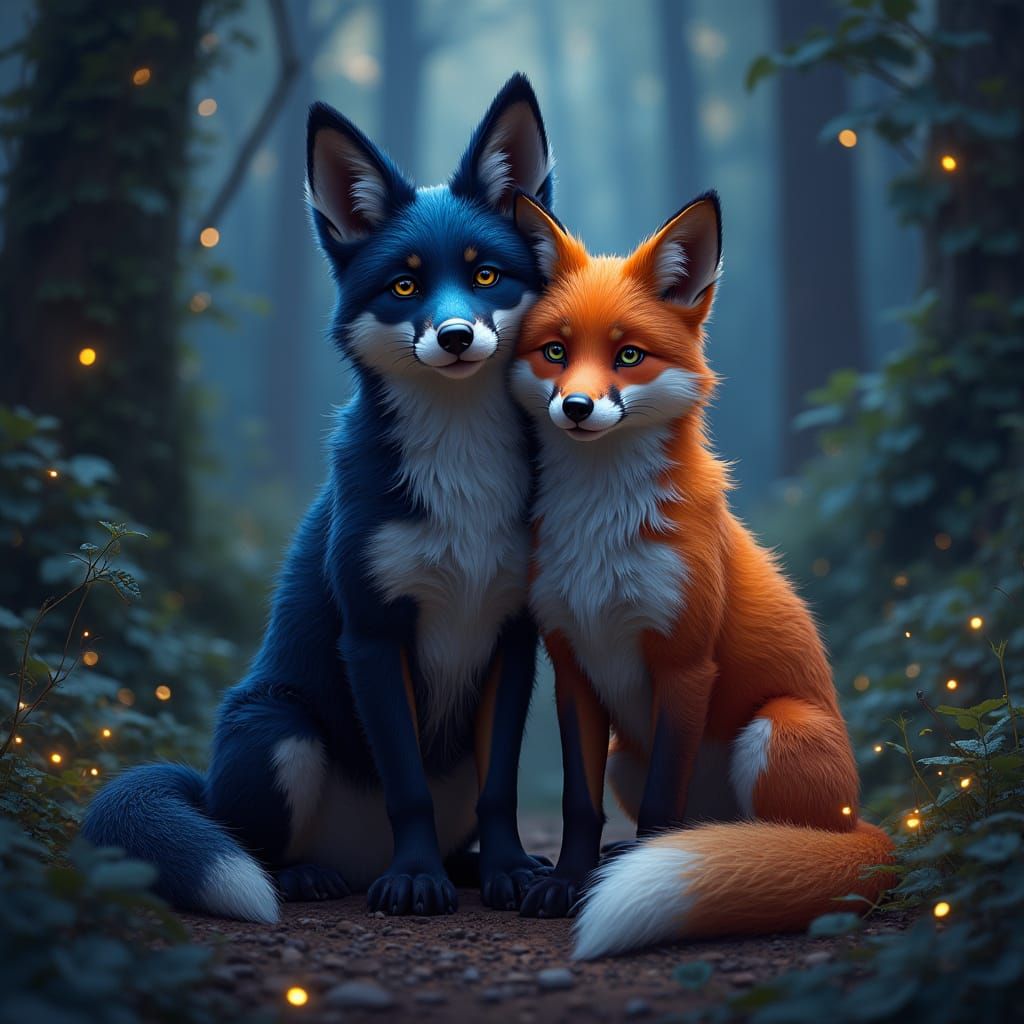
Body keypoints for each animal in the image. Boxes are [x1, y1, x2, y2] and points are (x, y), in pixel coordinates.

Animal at [82, 74, 556, 922]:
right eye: (405, 285)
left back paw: (475, 868)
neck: (460, 471)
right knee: (257, 847)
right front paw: (416, 881)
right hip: (279, 729)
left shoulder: (511, 637)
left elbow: (502, 789)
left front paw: (508, 872)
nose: (456, 336)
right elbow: (405, 786)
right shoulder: (371, 632)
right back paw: (318, 876)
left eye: (486, 275)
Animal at [508, 191, 894, 958]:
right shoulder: (573, 665)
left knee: (772, 835)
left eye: (628, 355)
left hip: (777, 731)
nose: (576, 407)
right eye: (556, 352)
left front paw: (628, 873)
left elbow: (660, 805)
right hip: (627, 751)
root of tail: (858, 820)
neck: (601, 530)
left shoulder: (685, 662)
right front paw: (567, 884)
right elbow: (576, 803)